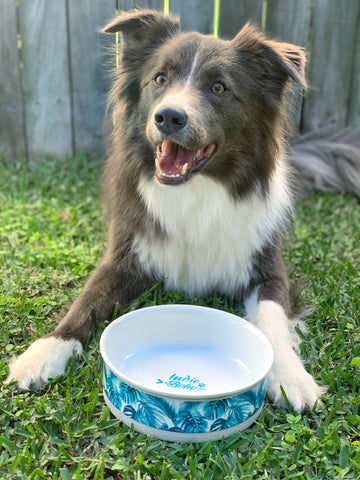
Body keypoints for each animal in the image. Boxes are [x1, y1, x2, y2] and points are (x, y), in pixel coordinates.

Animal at [8, 9, 360, 410]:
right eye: (160, 79)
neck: (196, 191)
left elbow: (272, 323)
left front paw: (290, 376)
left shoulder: (268, 269)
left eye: (219, 88)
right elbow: (85, 302)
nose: (169, 117)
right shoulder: (125, 254)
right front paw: (44, 352)